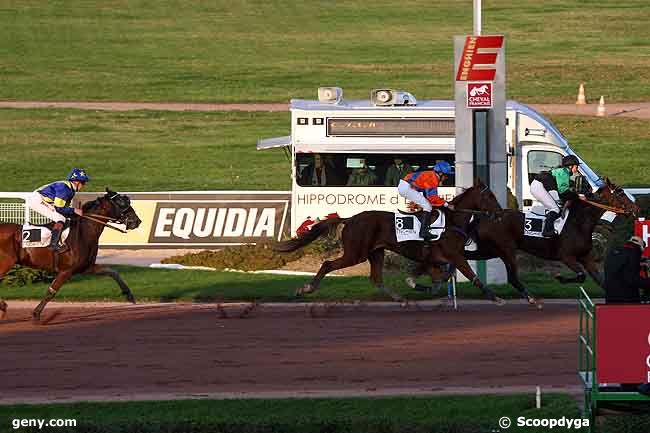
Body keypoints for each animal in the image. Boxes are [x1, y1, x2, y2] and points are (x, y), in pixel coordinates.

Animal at [0, 189, 141, 320]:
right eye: (121, 202)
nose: (137, 221)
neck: (83, 233)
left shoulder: (86, 267)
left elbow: (113, 272)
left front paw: (129, 295)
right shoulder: (66, 271)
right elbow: (51, 291)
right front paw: (36, 314)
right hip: (5, 263)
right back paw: (3, 306)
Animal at [270, 179, 504, 304]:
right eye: (490, 196)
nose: (500, 213)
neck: (453, 222)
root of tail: (350, 219)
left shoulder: (435, 258)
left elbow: (440, 277)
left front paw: (419, 285)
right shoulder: (454, 255)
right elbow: (471, 276)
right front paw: (494, 297)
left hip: (376, 252)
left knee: (376, 278)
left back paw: (400, 298)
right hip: (356, 253)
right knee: (328, 264)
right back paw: (306, 288)